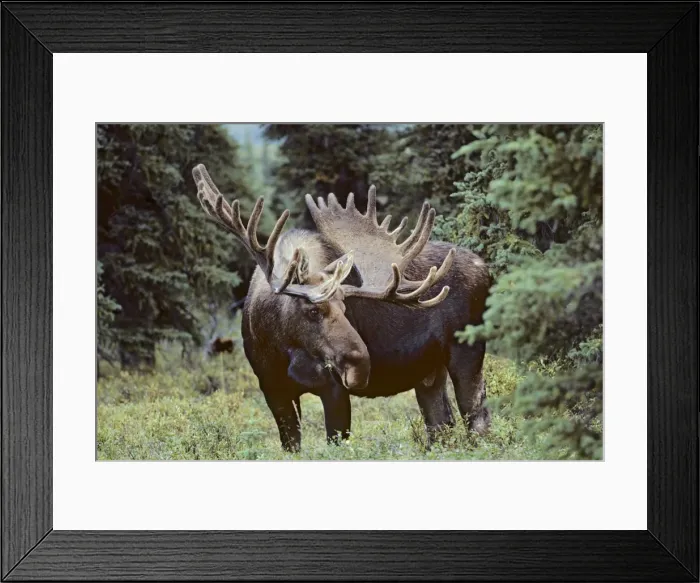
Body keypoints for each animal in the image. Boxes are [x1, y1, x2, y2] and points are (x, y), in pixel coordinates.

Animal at [193, 163, 492, 452]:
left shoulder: (333, 389)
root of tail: (486, 269)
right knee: (442, 426)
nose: (360, 366)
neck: (282, 347)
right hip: (429, 373)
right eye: (313, 311)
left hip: (467, 351)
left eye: (345, 308)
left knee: (477, 420)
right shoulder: (273, 389)